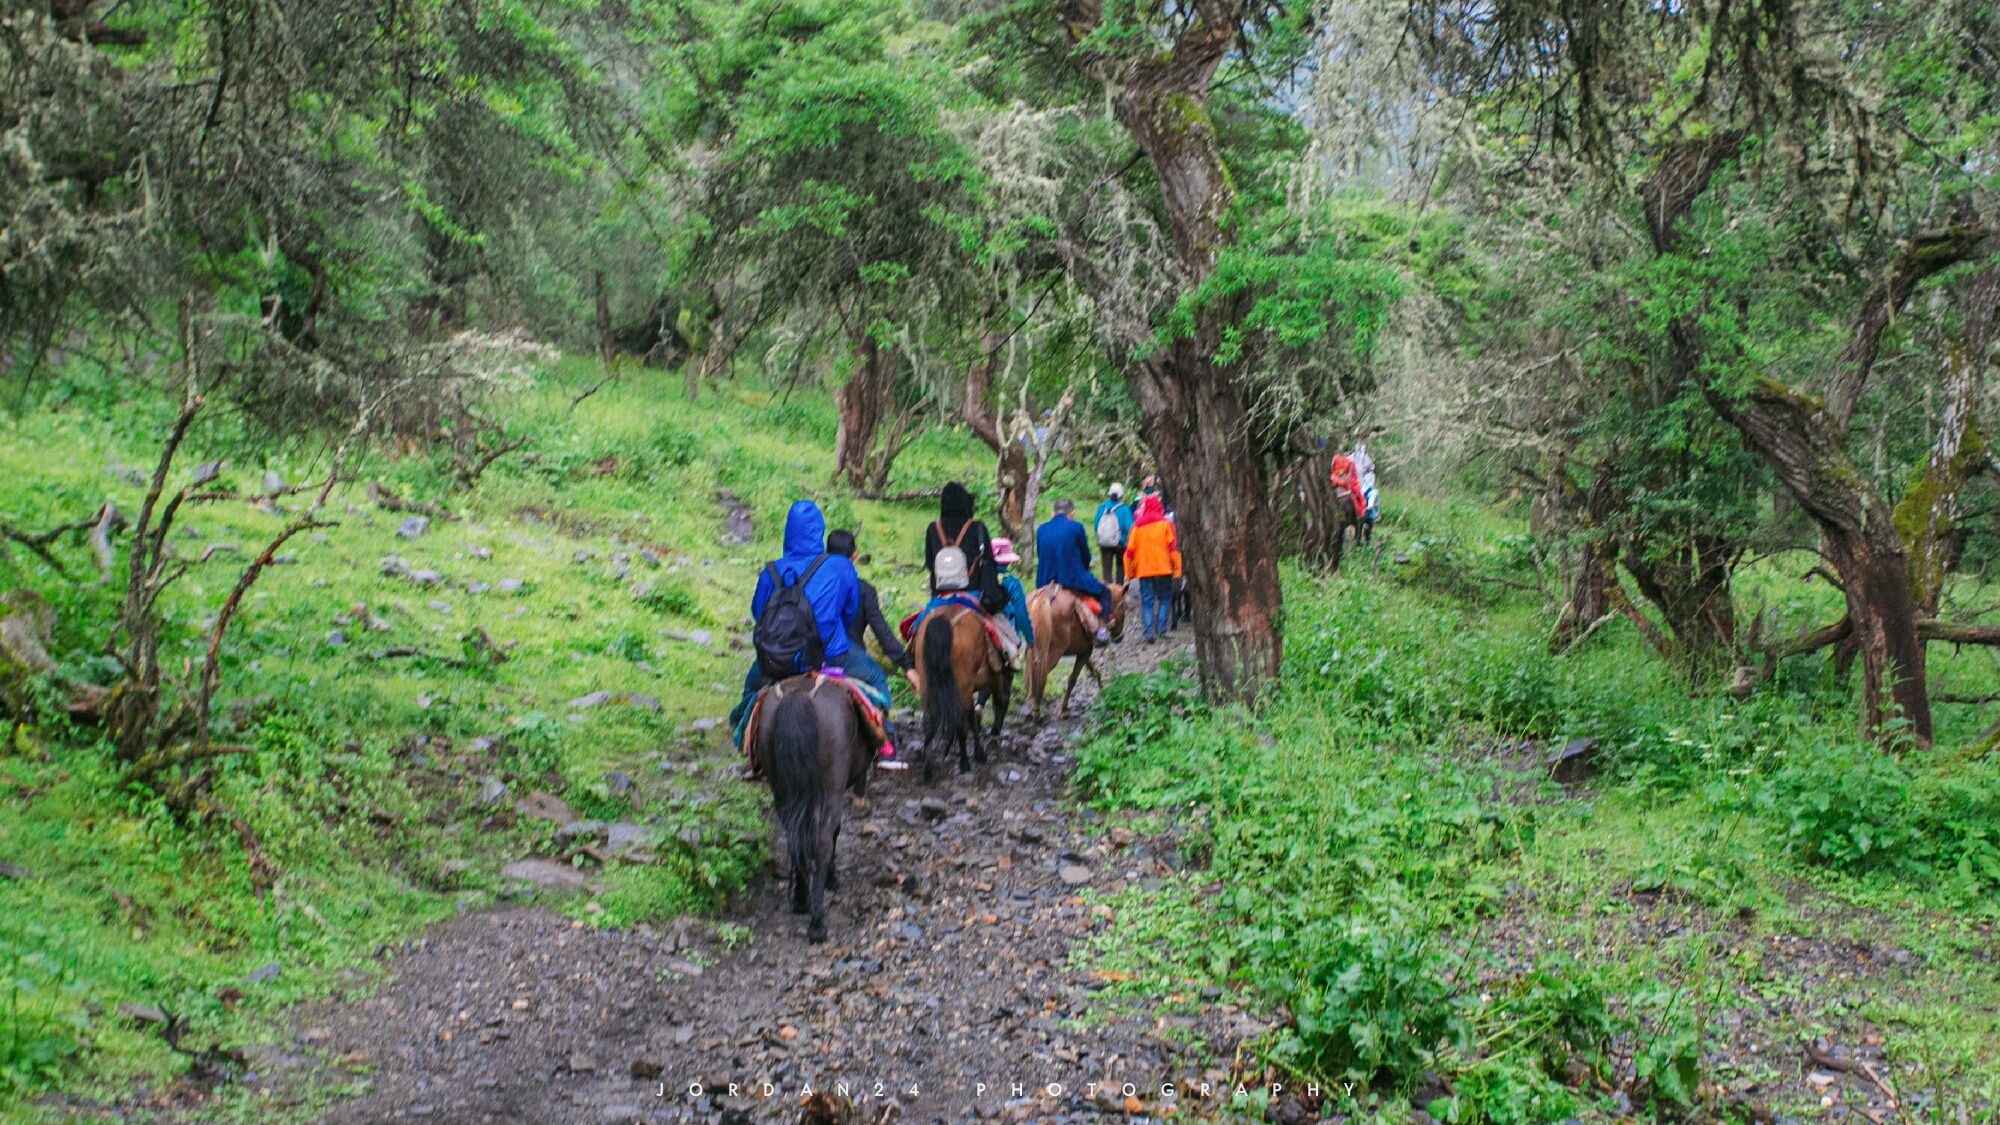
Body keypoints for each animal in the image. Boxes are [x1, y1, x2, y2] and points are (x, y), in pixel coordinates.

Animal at [752, 672, 876, 936]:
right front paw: (831, 879)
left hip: (783, 790)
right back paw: (817, 921)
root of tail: (800, 696)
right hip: (830, 789)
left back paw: (800, 900)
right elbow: (835, 832)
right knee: (822, 842)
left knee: (794, 840)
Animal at [916, 604, 1016, 780]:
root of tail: (945, 619)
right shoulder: (991, 681)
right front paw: (979, 752)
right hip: (963, 686)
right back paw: (964, 762)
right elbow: (977, 714)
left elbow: (973, 715)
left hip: (927, 686)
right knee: (960, 722)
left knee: (929, 721)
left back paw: (928, 769)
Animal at [1032, 576, 1128, 716]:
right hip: (1051, 654)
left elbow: (1093, 671)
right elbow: (1073, 678)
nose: (1121, 637)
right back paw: (1036, 710)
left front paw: (1103, 691)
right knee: (1039, 676)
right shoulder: (1086, 651)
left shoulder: (1084, 649)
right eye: (1125, 606)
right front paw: (1063, 708)